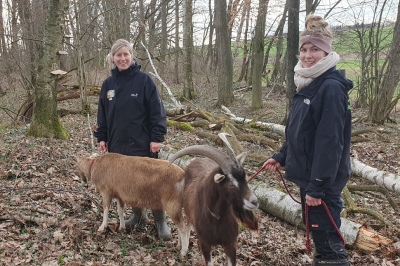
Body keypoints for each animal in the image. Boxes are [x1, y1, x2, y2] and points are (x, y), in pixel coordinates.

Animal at [168, 134, 260, 264]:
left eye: (245, 179)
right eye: (230, 184)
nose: (254, 202)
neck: (217, 219)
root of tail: (197, 160)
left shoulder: (230, 244)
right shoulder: (205, 243)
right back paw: (182, 249)